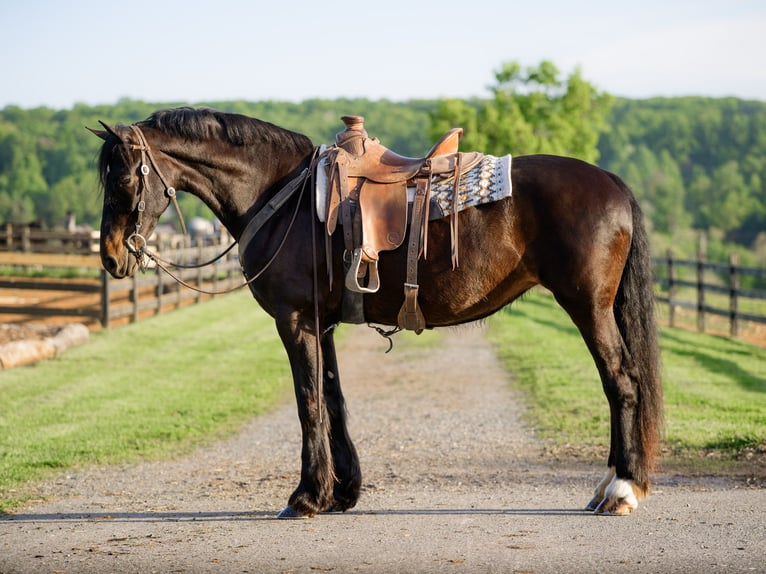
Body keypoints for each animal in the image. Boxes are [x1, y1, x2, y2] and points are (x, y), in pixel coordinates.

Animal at [92, 107, 662, 518]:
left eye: (124, 181)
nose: (112, 256)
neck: (280, 196)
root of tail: (612, 183)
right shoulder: (319, 324)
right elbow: (333, 400)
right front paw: (341, 492)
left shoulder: (294, 322)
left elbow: (308, 403)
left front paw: (306, 497)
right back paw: (608, 486)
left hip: (588, 307)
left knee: (622, 383)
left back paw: (622, 489)